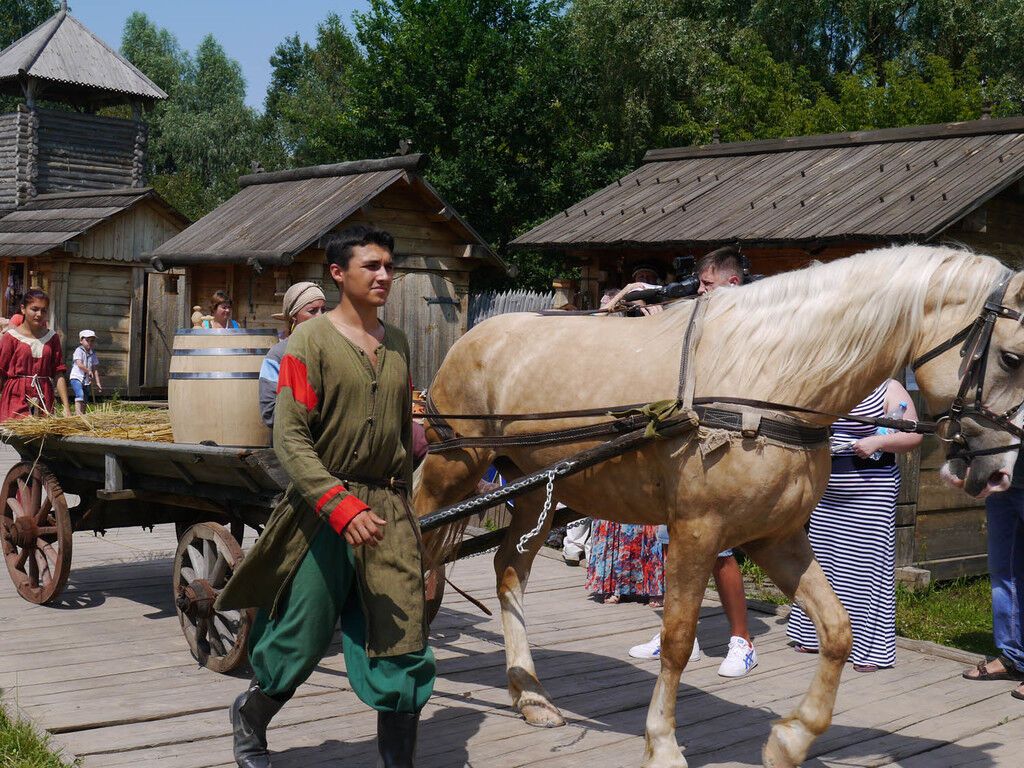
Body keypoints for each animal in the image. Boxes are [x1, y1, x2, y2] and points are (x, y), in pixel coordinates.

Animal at [411, 247, 1019, 768]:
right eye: (1012, 356)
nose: (999, 472)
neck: (770, 378)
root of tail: (479, 333)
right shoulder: (697, 532)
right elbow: (677, 640)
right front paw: (662, 743)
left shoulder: (777, 537)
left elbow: (837, 629)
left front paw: (791, 739)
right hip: (456, 467)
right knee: (416, 535)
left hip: (538, 488)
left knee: (509, 571)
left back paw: (530, 694)